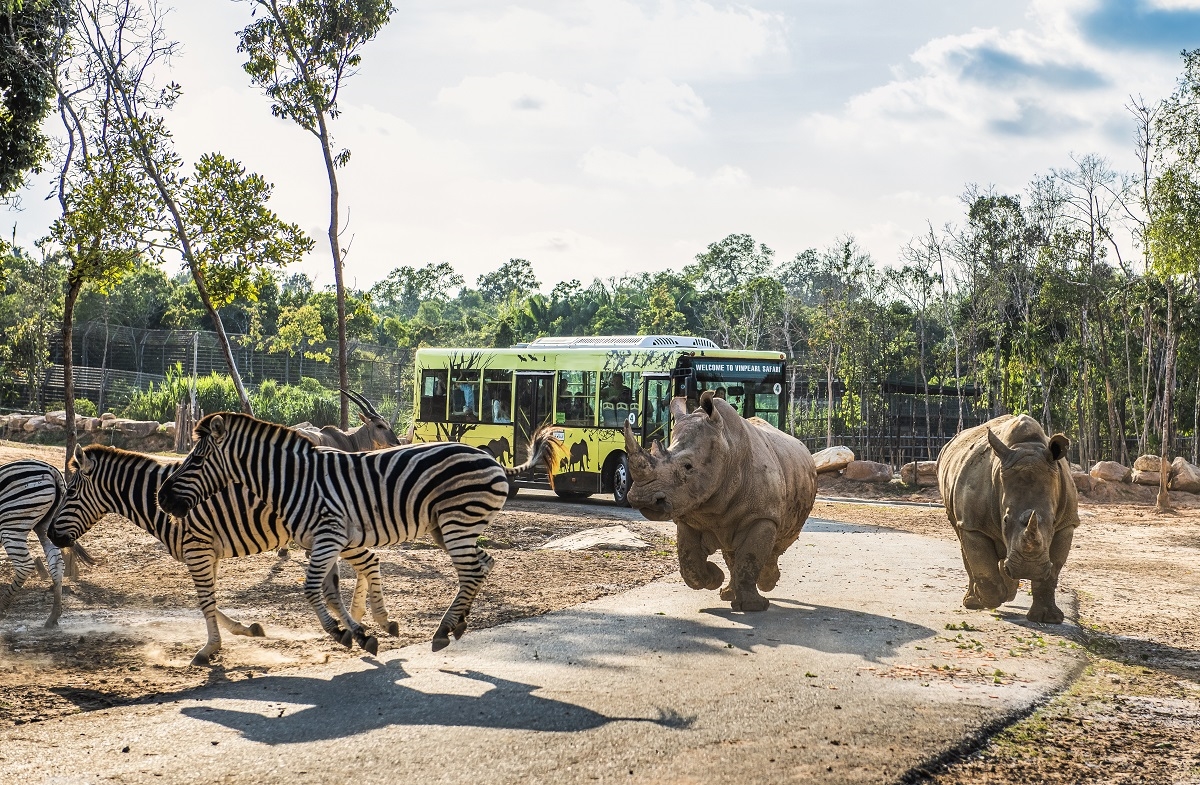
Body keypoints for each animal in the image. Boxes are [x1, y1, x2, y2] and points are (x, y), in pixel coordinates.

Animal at [48, 446, 398, 667]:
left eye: (71, 492)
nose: (51, 534)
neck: (158, 502)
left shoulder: (197, 549)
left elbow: (205, 602)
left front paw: (209, 650)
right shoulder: (206, 552)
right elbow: (209, 601)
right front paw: (246, 630)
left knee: (369, 561)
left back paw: (374, 620)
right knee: (366, 562)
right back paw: (363, 622)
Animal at [153, 415, 556, 652]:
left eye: (197, 460)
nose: (162, 498)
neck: (292, 481)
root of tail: (494, 461)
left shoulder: (328, 535)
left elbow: (312, 588)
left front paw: (341, 631)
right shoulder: (321, 541)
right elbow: (329, 589)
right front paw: (358, 629)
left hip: (458, 522)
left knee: (472, 570)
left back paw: (443, 629)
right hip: (451, 527)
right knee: (483, 564)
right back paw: (458, 623)